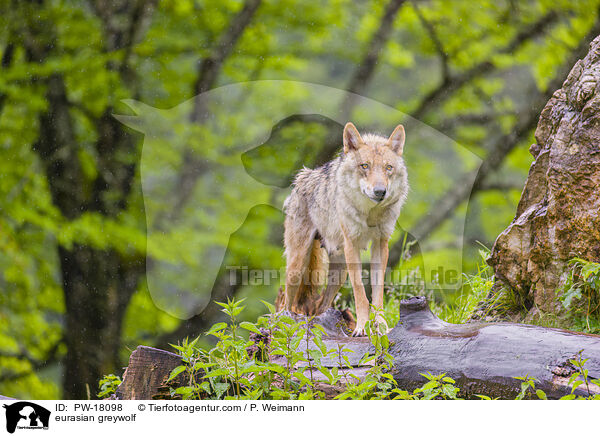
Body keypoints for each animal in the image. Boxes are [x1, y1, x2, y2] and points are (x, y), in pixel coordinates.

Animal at [282, 122, 408, 338]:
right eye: (364, 166)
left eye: (388, 168)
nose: (380, 191)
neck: (370, 213)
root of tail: (300, 179)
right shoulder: (352, 245)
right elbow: (360, 291)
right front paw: (362, 327)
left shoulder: (381, 244)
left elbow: (377, 293)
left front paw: (381, 326)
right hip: (297, 267)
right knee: (284, 305)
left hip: (339, 272)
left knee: (320, 308)